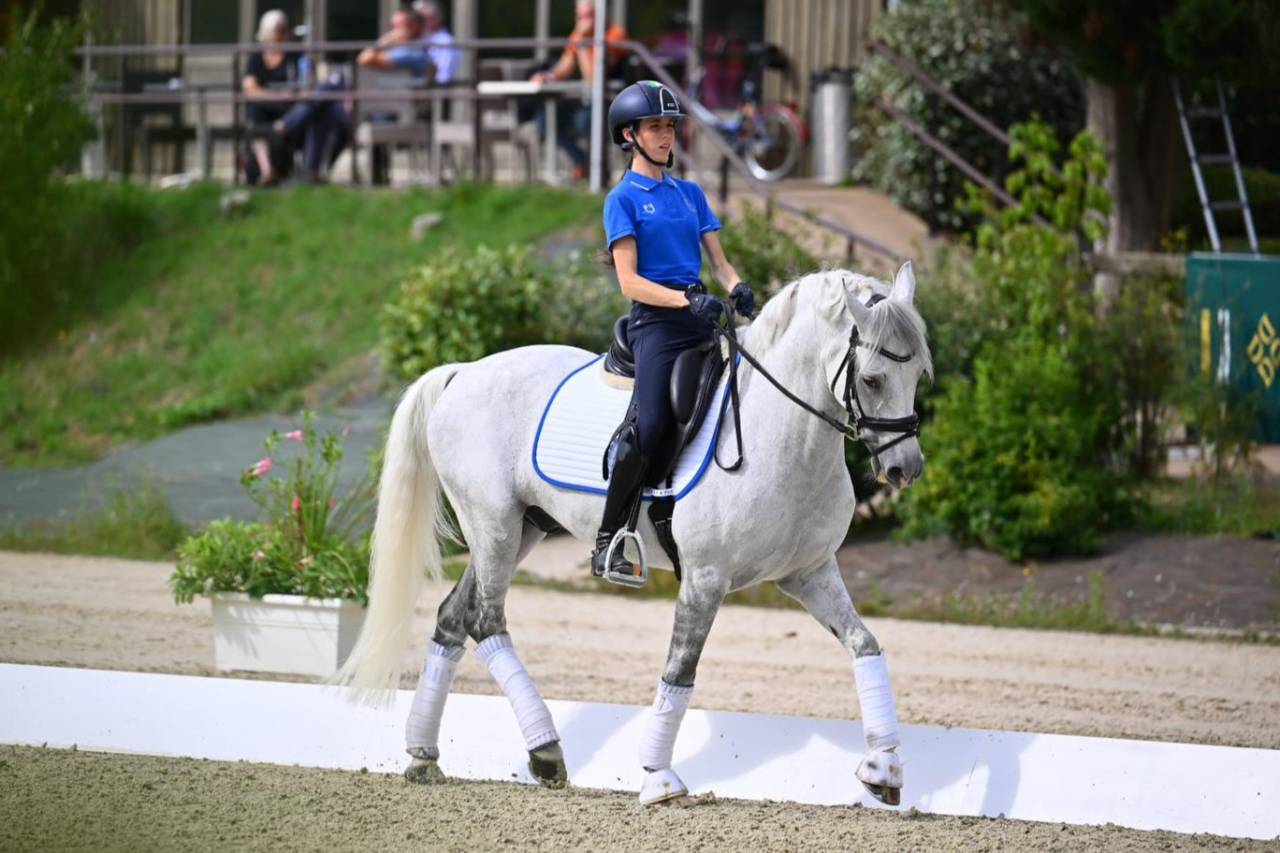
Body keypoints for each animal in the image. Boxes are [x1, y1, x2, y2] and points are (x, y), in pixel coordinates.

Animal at [333, 262, 931, 806]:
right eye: (872, 379)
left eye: (919, 375)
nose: (905, 469)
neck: (779, 435)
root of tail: (464, 372)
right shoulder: (705, 578)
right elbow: (680, 672)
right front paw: (658, 779)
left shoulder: (808, 573)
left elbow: (865, 645)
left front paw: (883, 768)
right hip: (493, 525)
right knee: (486, 622)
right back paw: (545, 751)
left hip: (520, 529)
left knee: (453, 619)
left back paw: (423, 755)